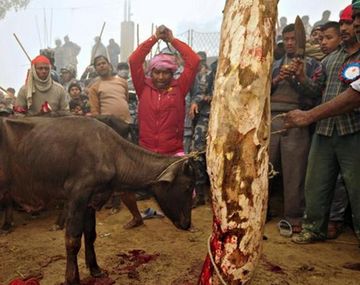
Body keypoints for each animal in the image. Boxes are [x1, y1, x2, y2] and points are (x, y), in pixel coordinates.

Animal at [0, 115, 194, 284]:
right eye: (187, 187)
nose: (187, 224)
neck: (111, 154)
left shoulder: (91, 201)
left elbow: (90, 235)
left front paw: (95, 269)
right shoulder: (77, 197)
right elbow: (73, 240)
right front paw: (72, 278)